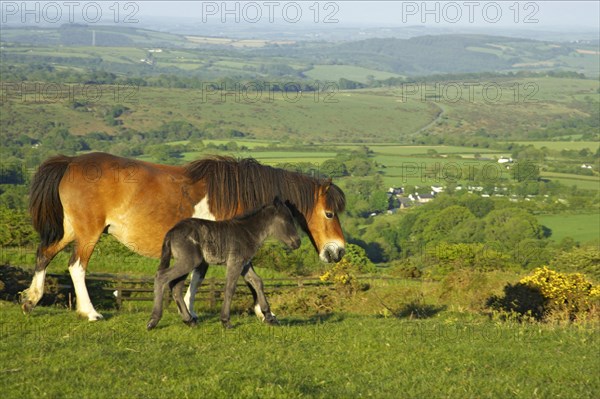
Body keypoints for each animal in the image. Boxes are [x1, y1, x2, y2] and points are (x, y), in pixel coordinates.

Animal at [147, 200, 300, 332]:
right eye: (287, 221)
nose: (297, 242)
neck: (248, 232)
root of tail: (171, 232)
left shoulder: (245, 264)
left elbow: (258, 282)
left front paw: (269, 317)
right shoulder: (235, 263)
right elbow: (230, 288)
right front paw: (226, 321)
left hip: (186, 262)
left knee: (175, 286)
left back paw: (189, 320)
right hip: (189, 261)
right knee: (161, 277)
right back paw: (153, 321)